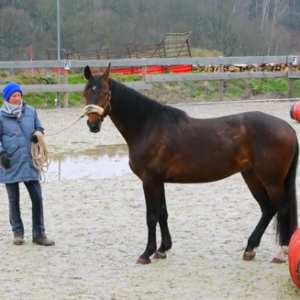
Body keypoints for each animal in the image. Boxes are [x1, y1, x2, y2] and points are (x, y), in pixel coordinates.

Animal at [82, 63, 300, 264]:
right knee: (268, 209)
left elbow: (151, 216)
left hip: (271, 180)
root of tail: (287, 127)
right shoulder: (158, 181)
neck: (148, 127)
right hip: (251, 175)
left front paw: (146, 253)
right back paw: (250, 248)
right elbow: (162, 213)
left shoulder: (149, 181)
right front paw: (162, 249)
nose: (93, 124)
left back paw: (281, 252)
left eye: (105, 92)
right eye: (86, 92)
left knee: (283, 209)